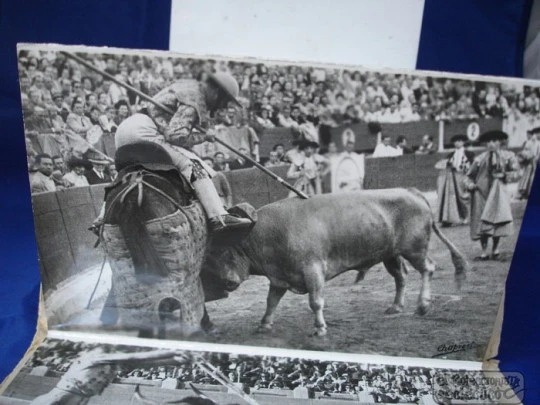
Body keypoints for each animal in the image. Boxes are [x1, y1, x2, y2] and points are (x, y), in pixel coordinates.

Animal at [207, 188, 468, 336]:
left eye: (224, 252)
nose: (226, 283)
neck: (269, 233)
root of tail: (414, 192)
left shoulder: (313, 271)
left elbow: (315, 302)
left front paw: (320, 328)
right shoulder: (280, 277)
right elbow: (271, 302)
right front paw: (264, 325)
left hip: (414, 249)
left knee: (428, 269)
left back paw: (422, 305)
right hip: (390, 254)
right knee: (401, 277)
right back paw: (395, 307)